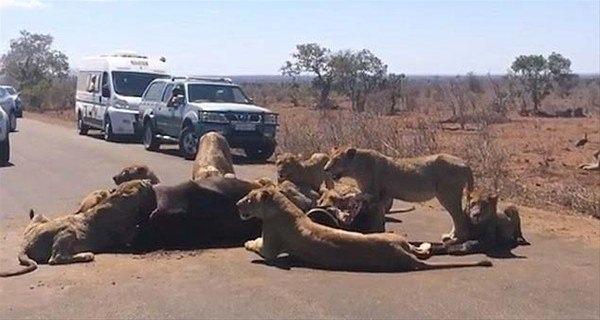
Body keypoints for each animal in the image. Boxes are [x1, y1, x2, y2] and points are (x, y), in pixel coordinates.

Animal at [0, 180, 157, 278]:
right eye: (142, 184)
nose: (149, 181)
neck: (118, 202)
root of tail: (24, 245)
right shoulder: (127, 237)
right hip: (68, 230)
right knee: (56, 258)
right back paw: (86, 255)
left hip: (41, 219)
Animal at [236, 188, 492, 272]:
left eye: (248, 199)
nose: (237, 204)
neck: (282, 206)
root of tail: (404, 257)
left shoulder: (271, 248)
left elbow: (259, 247)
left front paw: (248, 243)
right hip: (396, 240)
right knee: (421, 250)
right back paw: (426, 245)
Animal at [324, 148, 474, 242]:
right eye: (330, 158)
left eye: (336, 160)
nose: (325, 169)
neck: (356, 166)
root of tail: (465, 163)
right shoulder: (382, 197)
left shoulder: (374, 194)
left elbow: (355, 196)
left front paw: (347, 202)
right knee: (457, 216)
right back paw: (452, 235)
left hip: (447, 194)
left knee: (459, 216)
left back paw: (456, 238)